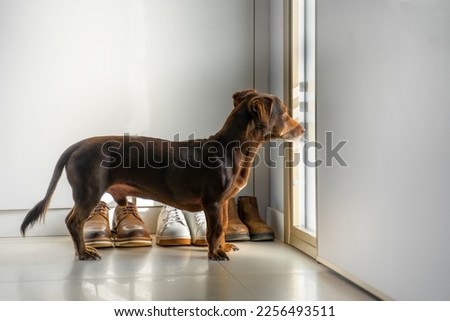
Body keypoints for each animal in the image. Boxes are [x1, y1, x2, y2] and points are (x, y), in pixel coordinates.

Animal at [20, 89, 302, 258]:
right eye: (287, 113)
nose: (303, 129)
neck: (230, 148)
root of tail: (76, 146)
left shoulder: (223, 202)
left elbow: (222, 227)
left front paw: (223, 246)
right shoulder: (212, 201)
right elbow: (214, 229)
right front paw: (215, 254)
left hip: (84, 193)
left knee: (72, 220)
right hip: (89, 191)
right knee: (74, 222)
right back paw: (84, 253)